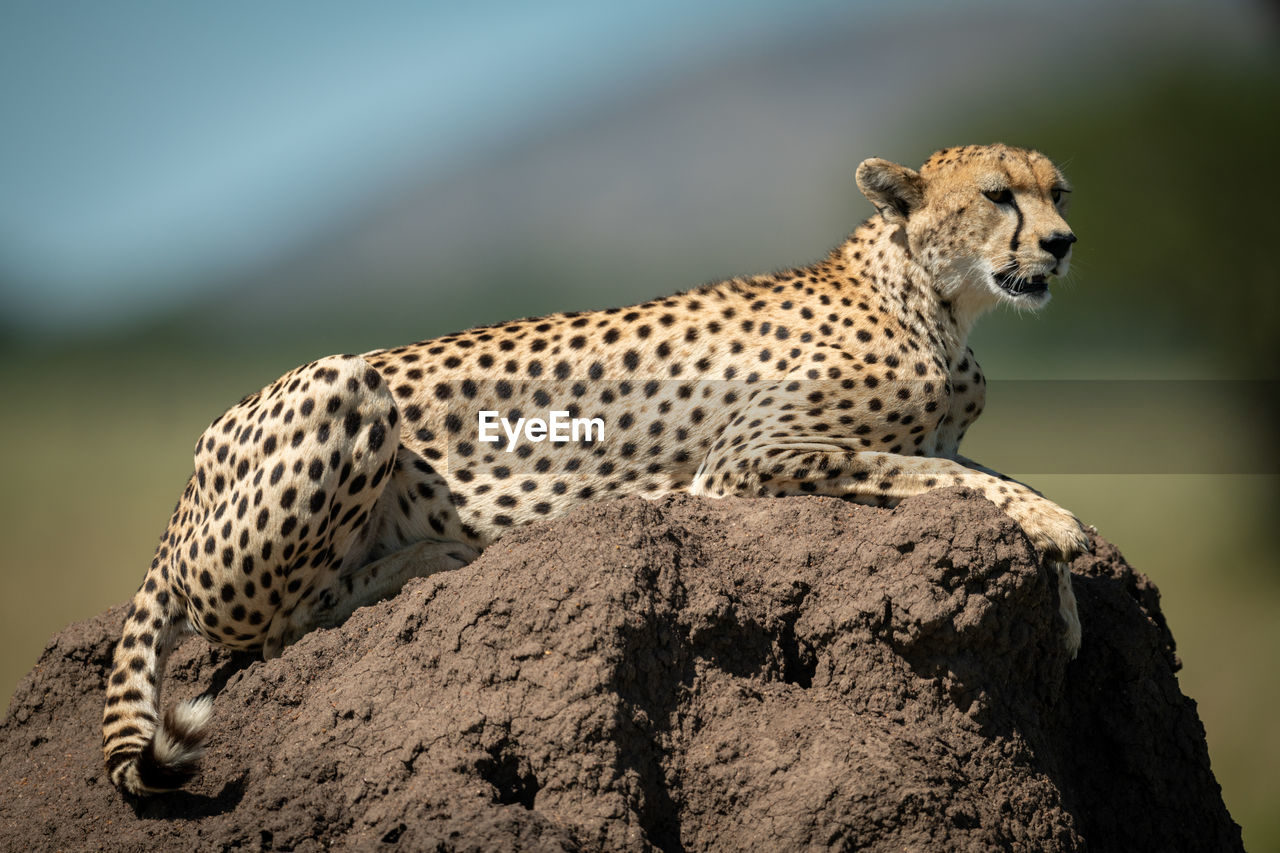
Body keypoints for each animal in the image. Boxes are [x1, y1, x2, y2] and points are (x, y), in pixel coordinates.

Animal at [104, 142, 1090, 794]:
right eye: (999, 195)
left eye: (1059, 192)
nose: (1063, 242)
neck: (934, 299)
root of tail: (186, 482)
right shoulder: (747, 460)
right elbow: (957, 480)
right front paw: (1056, 536)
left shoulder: (908, 439)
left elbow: (995, 476)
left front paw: (1068, 594)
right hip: (343, 384)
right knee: (270, 630)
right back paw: (434, 558)